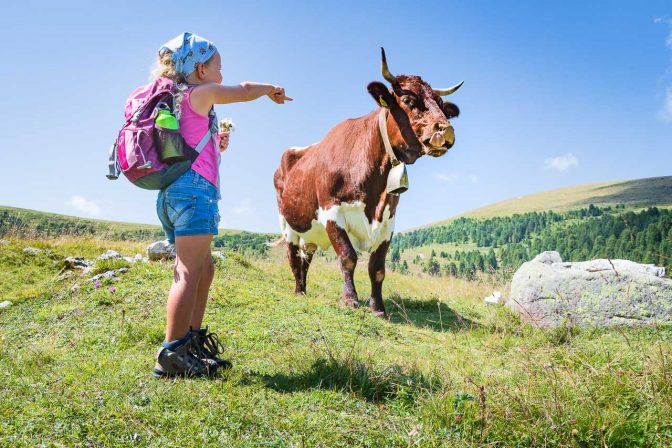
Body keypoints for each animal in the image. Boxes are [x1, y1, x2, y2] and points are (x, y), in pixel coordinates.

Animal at [272, 48, 462, 316]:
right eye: (408, 100)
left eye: (442, 105)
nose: (446, 130)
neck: (374, 192)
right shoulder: (331, 212)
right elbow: (348, 257)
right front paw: (349, 300)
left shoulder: (388, 222)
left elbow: (377, 268)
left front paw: (378, 307)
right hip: (287, 223)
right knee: (292, 256)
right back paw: (298, 290)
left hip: (310, 232)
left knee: (306, 257)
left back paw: (304, 289)